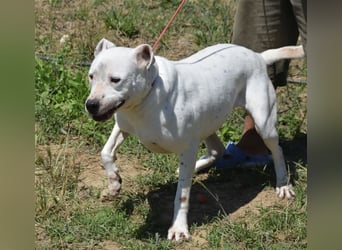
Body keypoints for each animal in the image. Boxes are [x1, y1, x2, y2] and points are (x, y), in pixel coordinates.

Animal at [85, 38, 304, 240]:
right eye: (91, 76)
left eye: (116, 79)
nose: (91, 105)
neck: (146, 99)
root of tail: (258, 56)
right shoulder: (123, 126)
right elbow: (105, 152)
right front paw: (114, 184)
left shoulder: (187, 148)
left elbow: (182, 195)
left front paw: (179, 228)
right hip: (208, 120)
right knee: (217, 149)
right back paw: (198, 166)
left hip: (263, 122)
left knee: (277, 150)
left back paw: (283, 184)